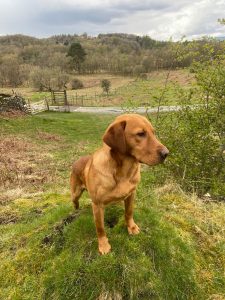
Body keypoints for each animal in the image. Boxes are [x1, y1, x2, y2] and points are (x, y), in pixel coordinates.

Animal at [70, 113, 169, 254]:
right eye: (141, 134)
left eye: (153, 132)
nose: (166, 153)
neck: (123, 172)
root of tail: (77, 161)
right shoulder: (97, 205)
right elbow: (100, 228)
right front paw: (103, 245)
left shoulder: (131, 194)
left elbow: (129, 213)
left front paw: (131, 227)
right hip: (76, 193)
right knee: (75, 202)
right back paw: (76, 210)